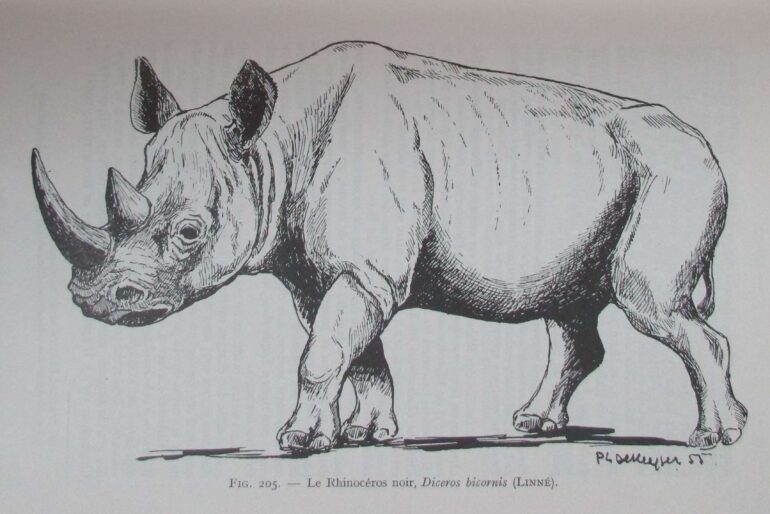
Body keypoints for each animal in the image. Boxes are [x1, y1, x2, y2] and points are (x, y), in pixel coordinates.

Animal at [33, 41, 746, 452]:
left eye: (188, 233)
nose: (98, 302)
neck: (272, 149)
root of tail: (705, 141)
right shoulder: (324, 274)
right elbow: (357, 352)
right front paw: (363, 435)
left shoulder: (367, 270)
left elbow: (323, 352)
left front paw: (297, 440)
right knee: (573, 314)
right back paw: (532, 424)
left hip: (673, 169)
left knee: (650, 301)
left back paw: (713, 438)